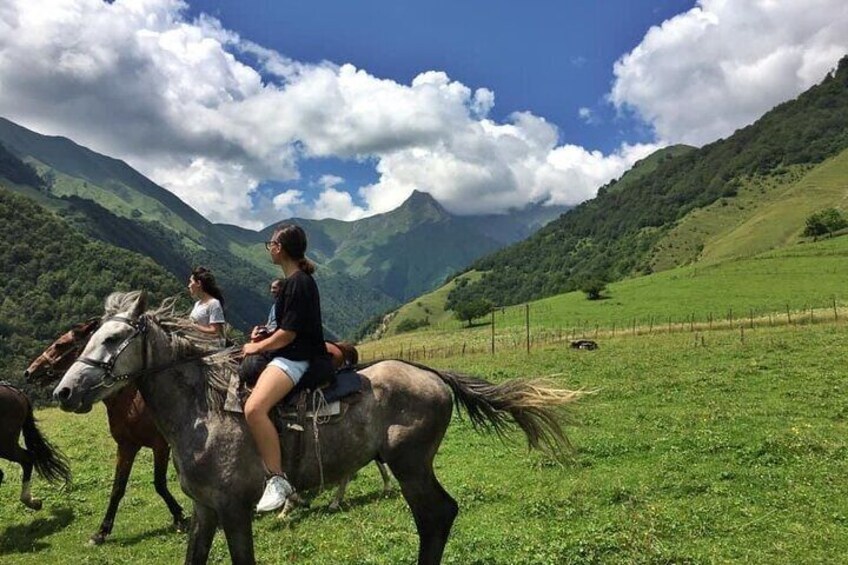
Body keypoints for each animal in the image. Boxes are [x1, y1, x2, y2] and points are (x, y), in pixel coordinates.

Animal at [53, 294, 584, 560]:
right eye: (90, 337)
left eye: (114, 338)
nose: (64, 392)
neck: (202, 411)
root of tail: (430, 374)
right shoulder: (205, 511)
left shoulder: (233, 510)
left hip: (410, 466)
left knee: (436, 516)